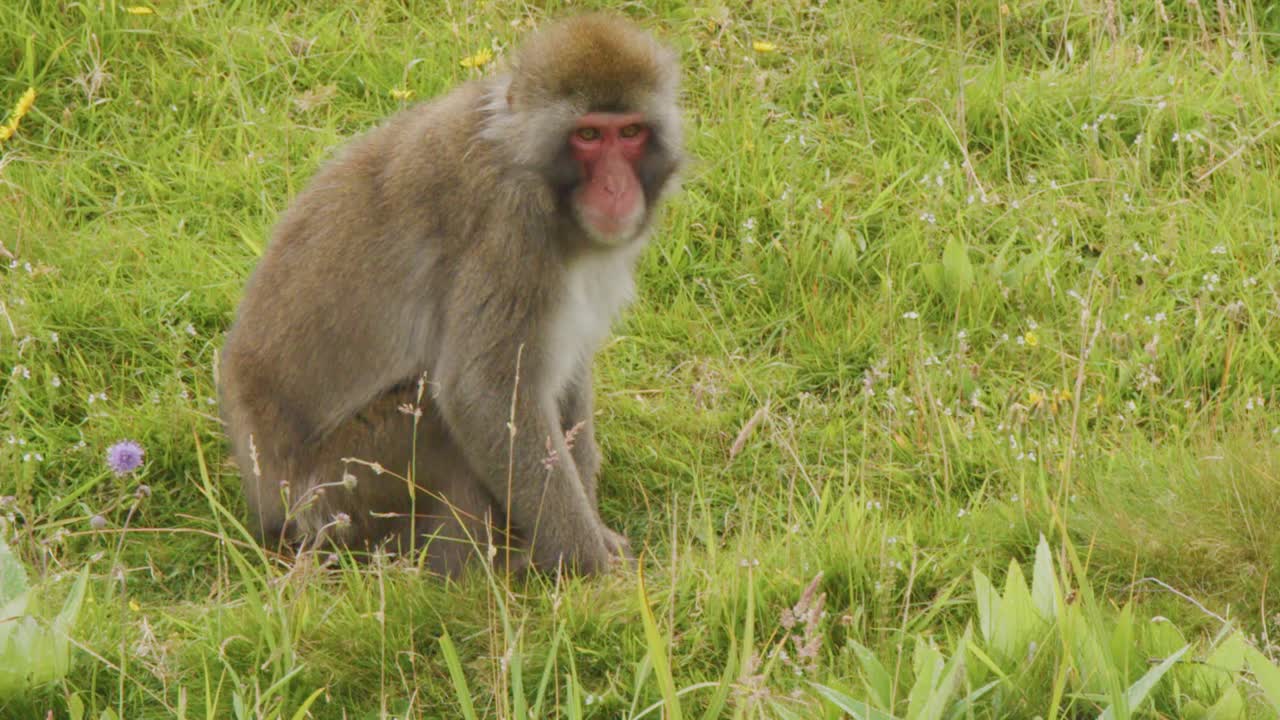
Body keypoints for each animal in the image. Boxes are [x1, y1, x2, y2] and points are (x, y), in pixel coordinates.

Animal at [217, 13, 683, 577]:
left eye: (630, 132)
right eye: (589, 135)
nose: (616, 189)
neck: (528, 163)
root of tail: (265, 502)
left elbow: (565, 371)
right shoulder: (510, 233)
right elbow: (483, 394)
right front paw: (590, 568)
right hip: (334, 493)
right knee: (435, 421)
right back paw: (477, 572)